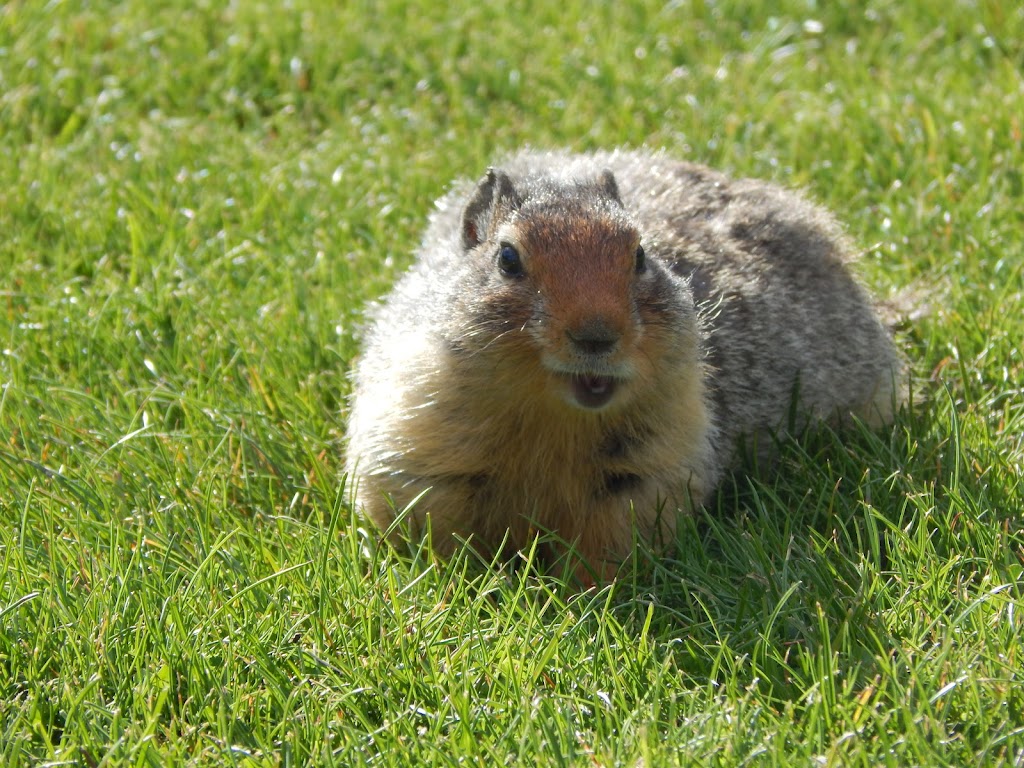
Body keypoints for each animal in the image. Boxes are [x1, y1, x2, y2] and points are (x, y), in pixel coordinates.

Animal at [346, 148, 905, 581]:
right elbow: (421, 509)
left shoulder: (659, 451)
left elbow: (617, 533)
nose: (597, 334)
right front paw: (469, 583)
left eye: (640, 256)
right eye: (507, 258)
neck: (554, 416)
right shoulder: (418, 417)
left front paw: (587, 594)